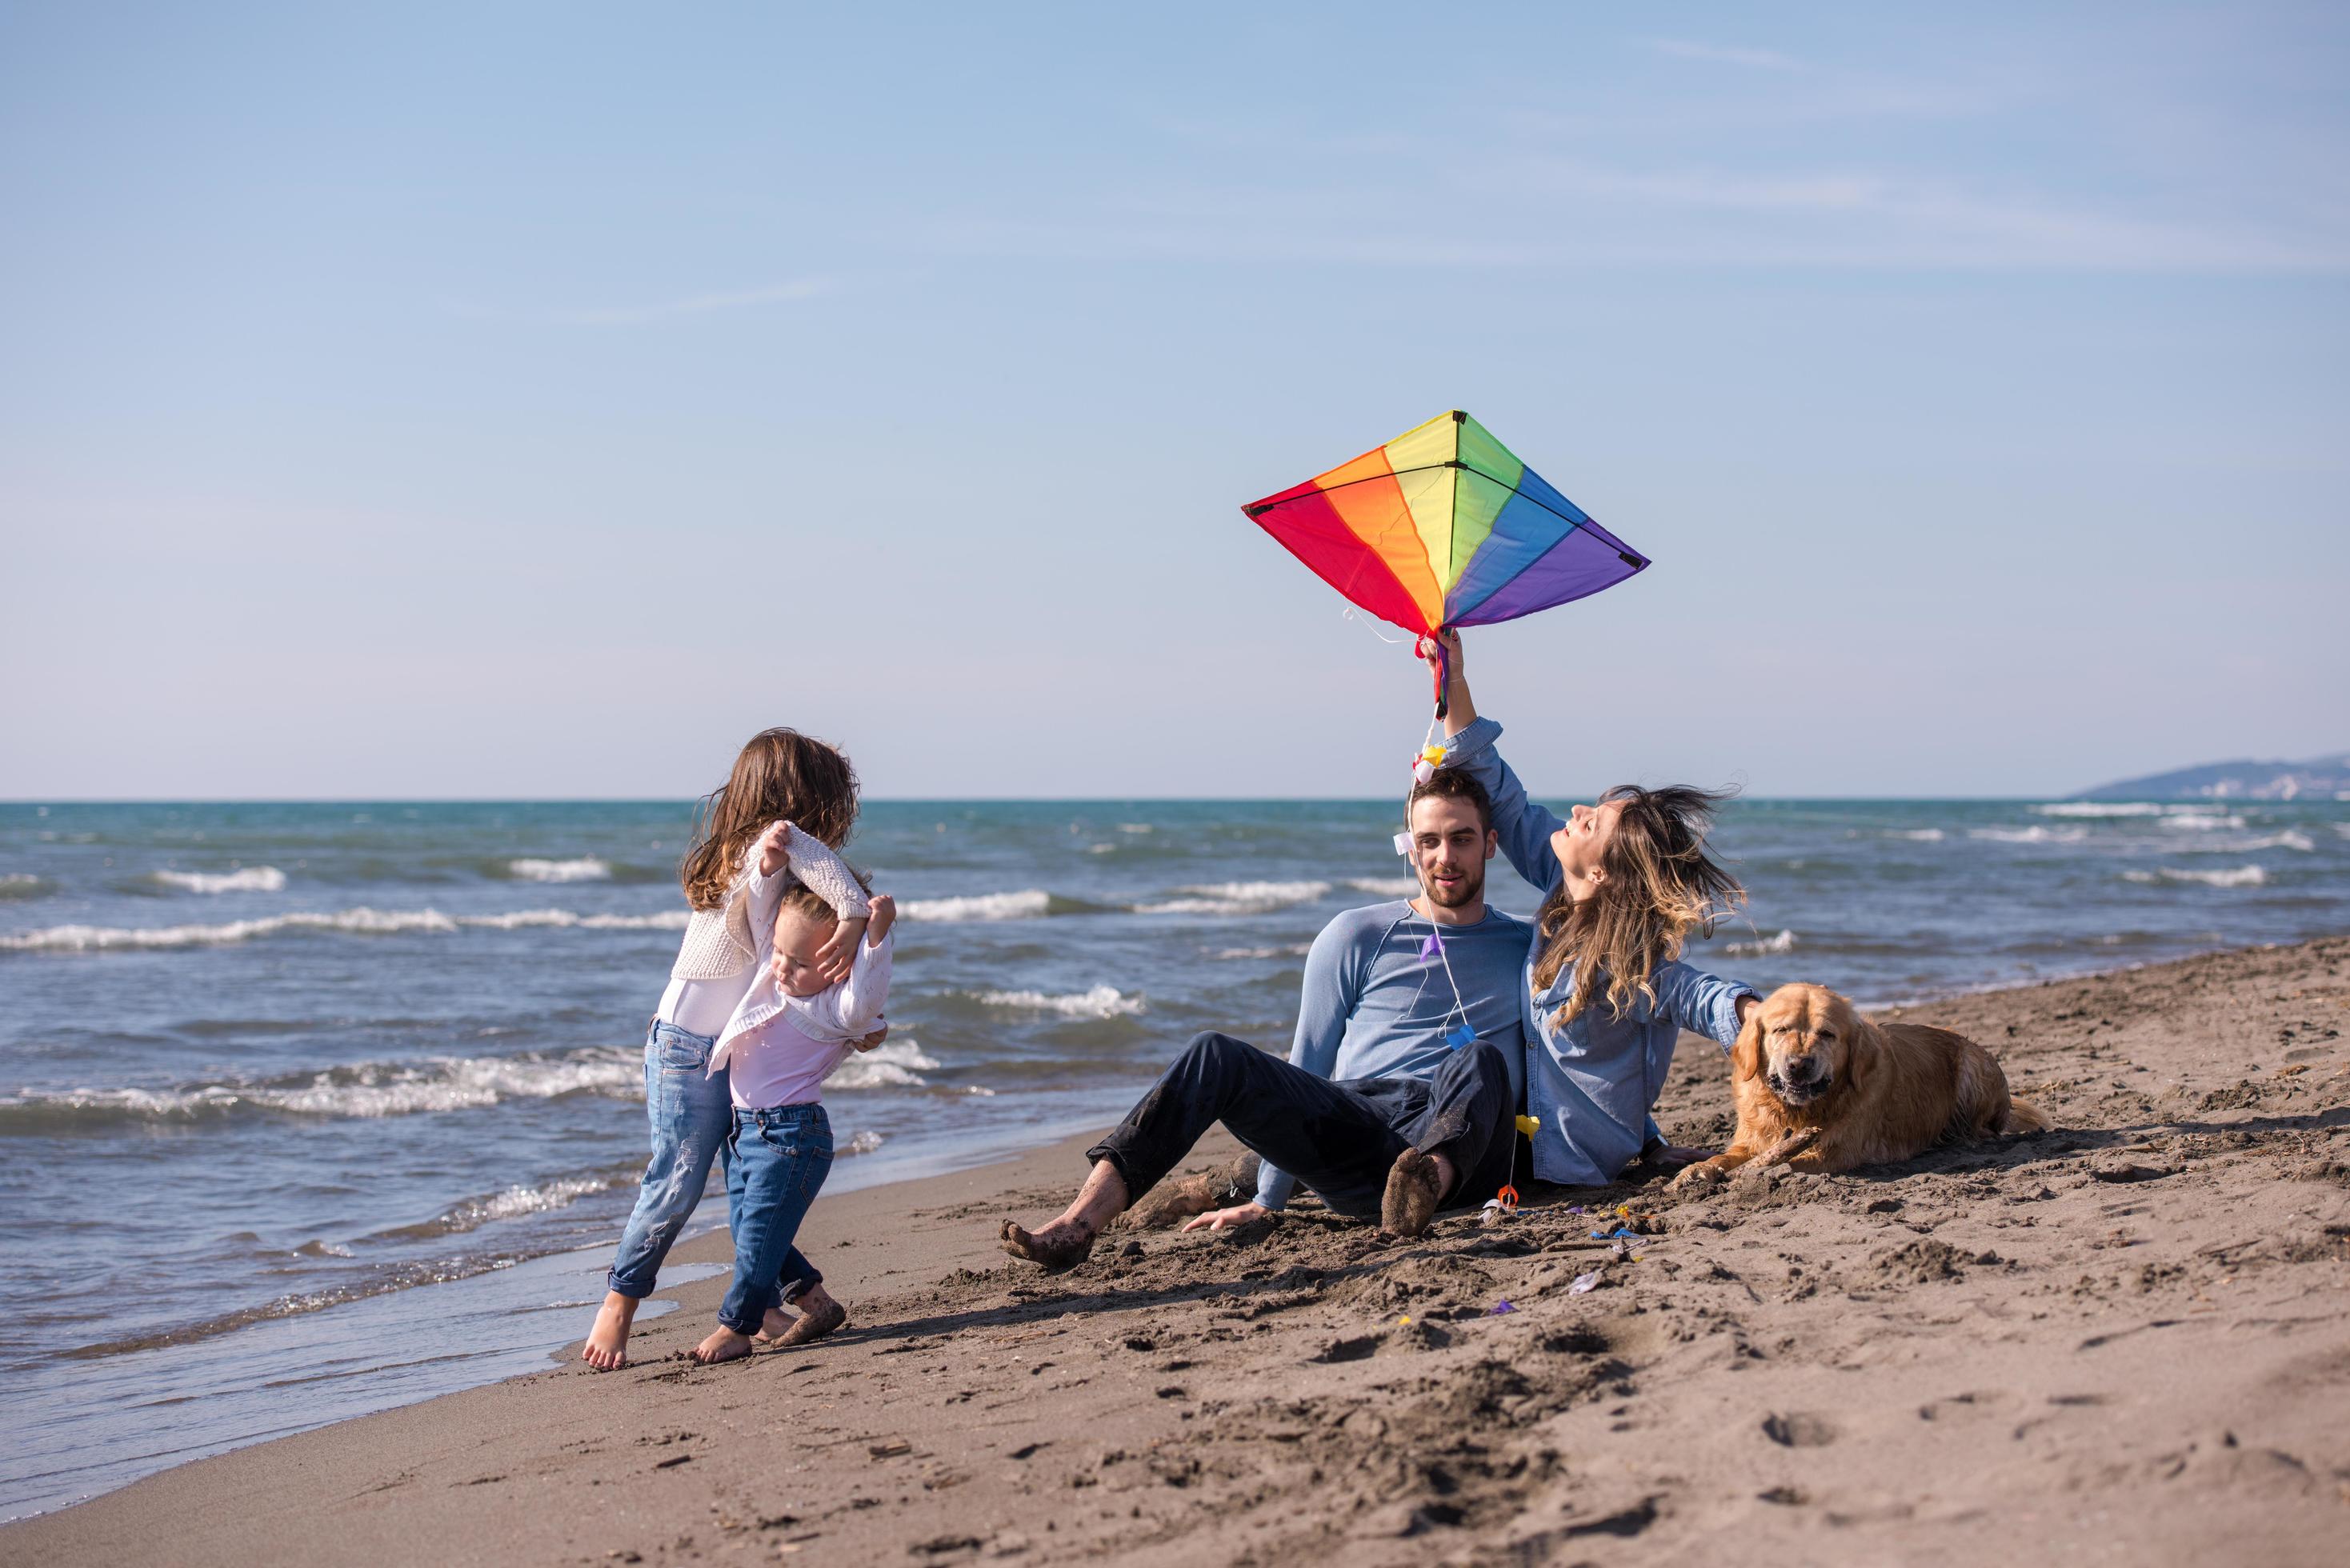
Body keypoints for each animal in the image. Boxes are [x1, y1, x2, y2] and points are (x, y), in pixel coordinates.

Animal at [1682, 982, 2049, 1189]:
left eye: (1827, 1034)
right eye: (1781, 1029)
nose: (1799, 1065)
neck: (1798, 1112)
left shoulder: (1838, 1150)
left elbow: (1785, 1162)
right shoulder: (1753, 1138)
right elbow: (1729, 1156)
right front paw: (1698, 1170)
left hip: (1973, 1067)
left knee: (1986, 1127)